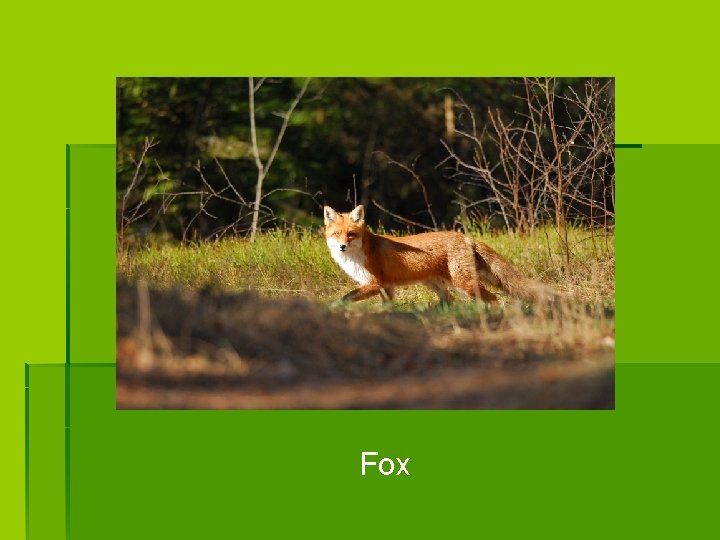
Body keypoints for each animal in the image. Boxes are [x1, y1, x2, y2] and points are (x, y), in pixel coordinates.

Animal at [324, 204, 557, 305]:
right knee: (450, 301)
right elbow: (388, 308)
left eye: (351, 234)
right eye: (336, 234)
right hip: (438, 285)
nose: (342, 247)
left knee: (492, 298)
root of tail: (466, 238)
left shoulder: (375, 283)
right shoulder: (386, 287)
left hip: (464, 283)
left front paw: (333, 309)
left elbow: (345, 298)